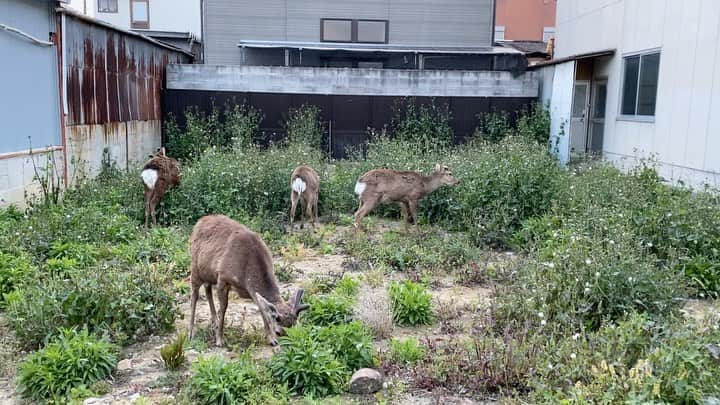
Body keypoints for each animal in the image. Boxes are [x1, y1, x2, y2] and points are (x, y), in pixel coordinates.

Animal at [188, 213, 310, 346]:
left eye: (297, 326)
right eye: (278, 332)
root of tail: (199, 221)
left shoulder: (250, 290)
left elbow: (261, 308)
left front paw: (270, 339)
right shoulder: (223, 277)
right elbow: (224, 308)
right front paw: (219, 339)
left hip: (208, 273)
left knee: (207, 288)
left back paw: (214, 321)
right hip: (195, 267)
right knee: (194, 295)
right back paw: (191, 332)